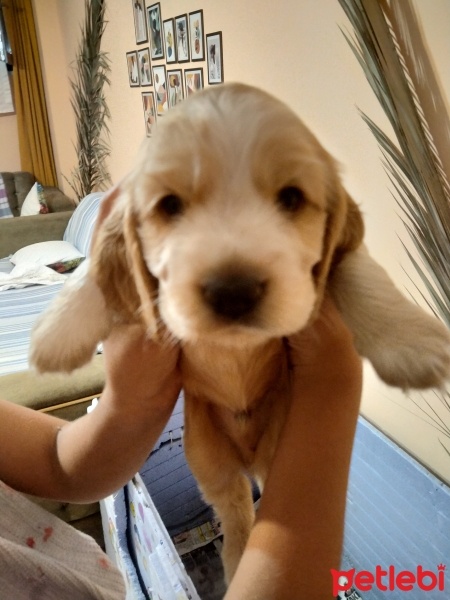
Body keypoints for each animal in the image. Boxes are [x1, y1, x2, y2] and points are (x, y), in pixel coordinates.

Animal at [29, 83, 448, 580]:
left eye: (291, 198)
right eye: (170, 205)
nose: (233, 293)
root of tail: (247, 455)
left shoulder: (337, 261)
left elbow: (357, 272)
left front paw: (413, 341)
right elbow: (92, 272)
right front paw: (54, 336)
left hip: (278, 453)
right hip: (209, 459)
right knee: (235, 513)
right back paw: (236, 560)